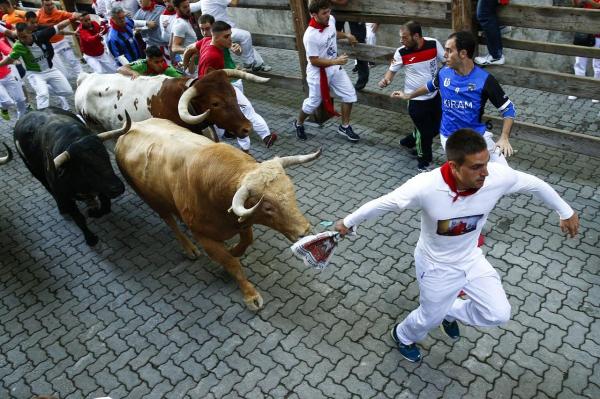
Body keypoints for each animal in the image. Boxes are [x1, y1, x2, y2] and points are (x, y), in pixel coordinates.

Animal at [13, 108, 131, 247]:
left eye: (106, 156)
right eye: (85, 167)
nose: (117, 188)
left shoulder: (102, 186)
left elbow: (106, 206)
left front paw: (94, 212)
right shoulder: (65, 195)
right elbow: (79, 218)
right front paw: (90, 238)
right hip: (35, 171)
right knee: (47, 187)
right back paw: (63, 209)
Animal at [115, 118, 322, 310]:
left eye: (291, 190)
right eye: (268, 207)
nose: (305, 231)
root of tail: (132, 128)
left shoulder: (242, 222)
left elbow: (246, 241)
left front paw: (233, 251)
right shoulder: (204, 236)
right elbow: (232, 264)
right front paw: (250, 295)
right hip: (152, 200)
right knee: (169, 221)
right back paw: (189, 248)